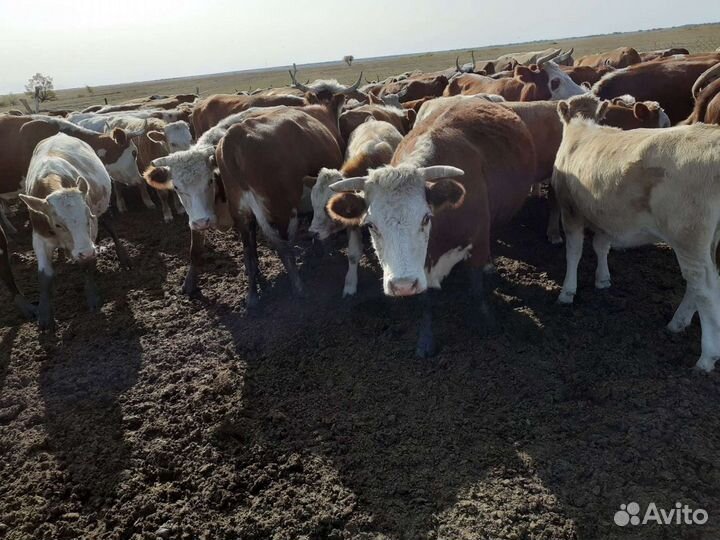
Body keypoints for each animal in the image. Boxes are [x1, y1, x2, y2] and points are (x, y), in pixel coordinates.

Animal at [19, 133, 130, 330]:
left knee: (110, 227)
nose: (86, 251)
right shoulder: (39, 238)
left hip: (103, 207)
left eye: (88, 217)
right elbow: (44, 276)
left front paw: (93, 297)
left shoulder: (92, 227)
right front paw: (44, 315)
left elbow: (87, 265)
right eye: (58, 225)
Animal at [304, 119, 403, 296]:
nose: (313, 232)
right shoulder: (353, 217)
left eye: (327, 208)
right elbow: (353, 253)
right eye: (313, 203)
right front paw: (350, 284)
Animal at [326, 99, 536, 357]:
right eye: (371, 225)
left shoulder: (476, 238)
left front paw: (486, 321)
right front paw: (425, 341)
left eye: (426, 218)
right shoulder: (421, 268)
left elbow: (476, 285)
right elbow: (425, 301)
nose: (402, 285)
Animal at [552, 93, 720, 372]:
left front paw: (567, 291)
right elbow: (601, 246)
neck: (581, 130)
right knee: (702, 283)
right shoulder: (606, 214)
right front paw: (603, 279)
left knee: (704, 287)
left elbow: (573, 252)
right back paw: (678, 323)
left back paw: (707, 357)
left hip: (688, 234)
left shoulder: (570, 209)